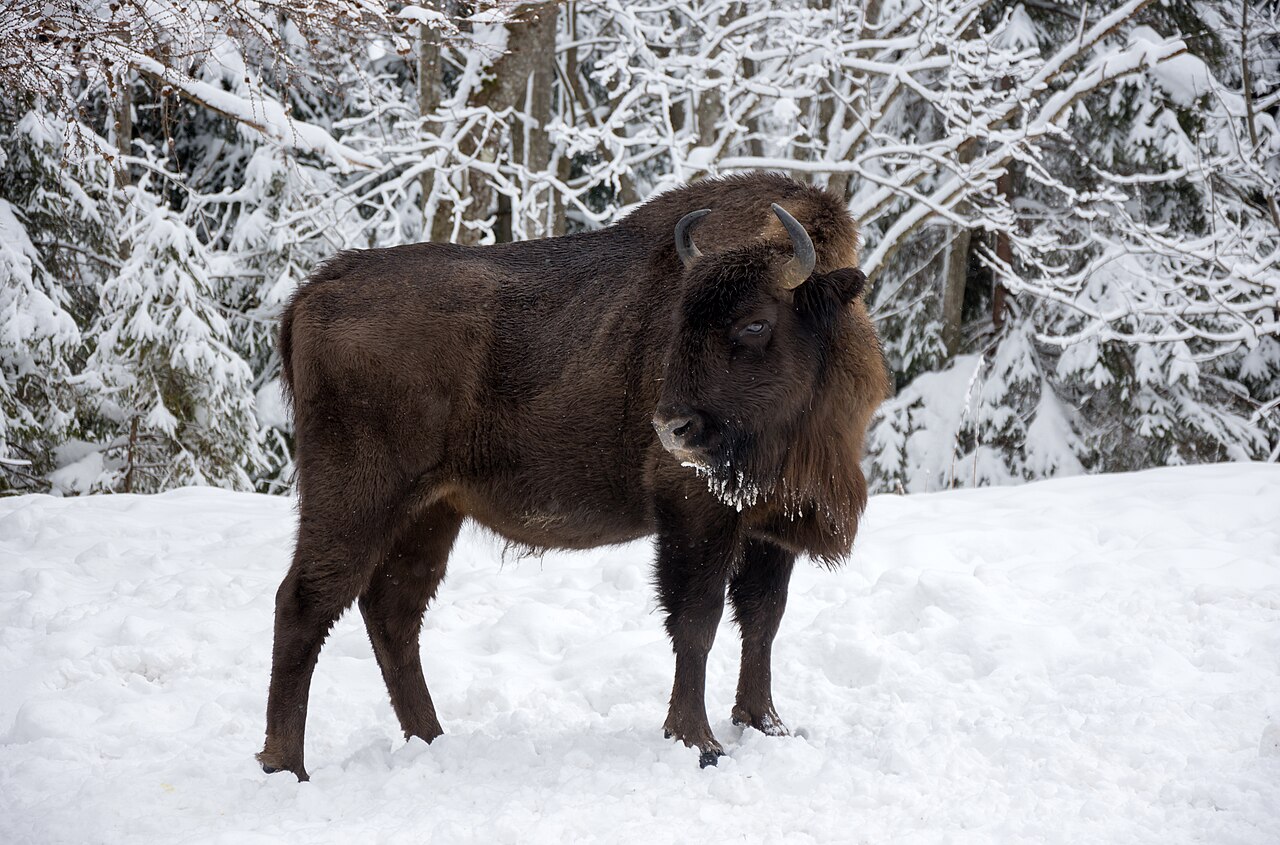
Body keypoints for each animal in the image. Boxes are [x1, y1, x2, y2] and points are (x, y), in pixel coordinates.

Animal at [257, 172, 889, 778]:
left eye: (756, 323)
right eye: (681, 320)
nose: (673, 427)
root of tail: (317, 288)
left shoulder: (772, 523)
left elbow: (762, 620)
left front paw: (767, 726)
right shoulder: (696, 514)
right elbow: (698, 620)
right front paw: (699, 742)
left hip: (431, 511)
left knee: (392, 610)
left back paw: (432, 739)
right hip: (356, 499)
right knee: (305, 603)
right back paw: (287, 765)